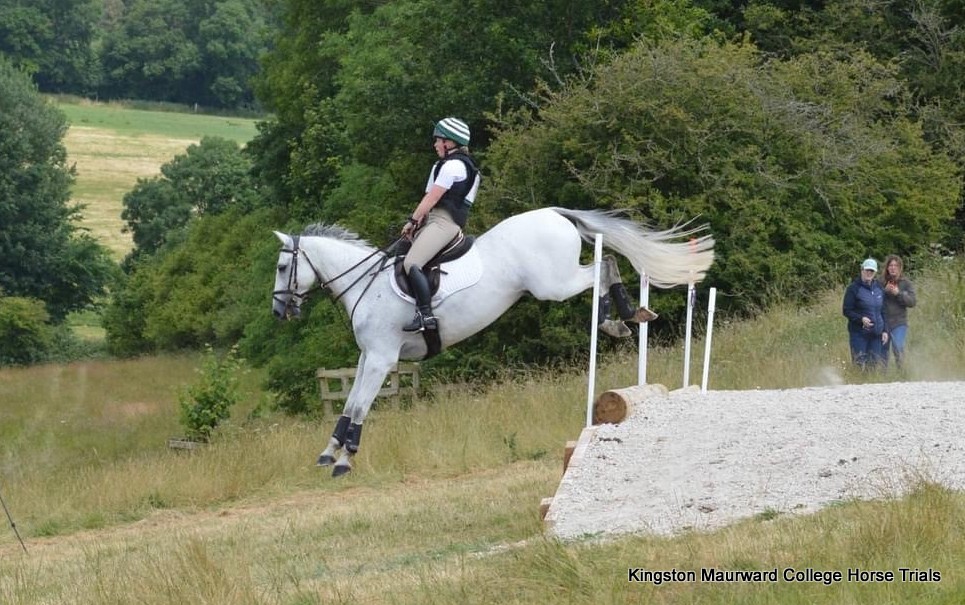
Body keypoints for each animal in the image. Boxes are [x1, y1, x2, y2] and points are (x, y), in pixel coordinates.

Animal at [271, 206, 714, 476]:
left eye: (280, 266)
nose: (279, 312)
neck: (365, 282)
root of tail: (555, 212)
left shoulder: (382, 358)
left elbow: (361, 405)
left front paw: (345, 460)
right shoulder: (367, 358)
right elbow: (349, 403)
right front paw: (329, 451)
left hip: (554, 283)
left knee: (602, 266)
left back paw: (613, 319)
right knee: (605, 263)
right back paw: (627, 318)